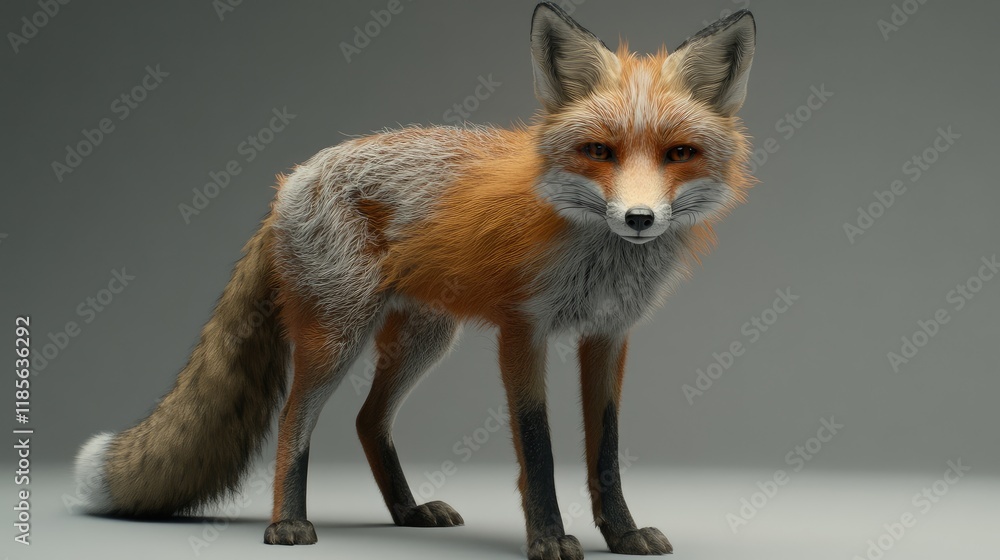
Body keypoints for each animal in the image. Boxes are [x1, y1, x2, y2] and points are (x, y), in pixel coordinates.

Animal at [74, 4, 756, 559]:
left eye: (678, 154)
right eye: (599, 152)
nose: (639, 219)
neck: (593, 252)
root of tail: (290, 181)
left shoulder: (609, 334)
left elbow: (606, 451)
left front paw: (622, 534)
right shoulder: (522, 330)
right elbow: (537, 448)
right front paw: (548, 539)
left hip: (424, 338)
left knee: (367, 421)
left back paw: (405, 511)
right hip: (338, 335)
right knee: (295, 419)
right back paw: (287, 523)